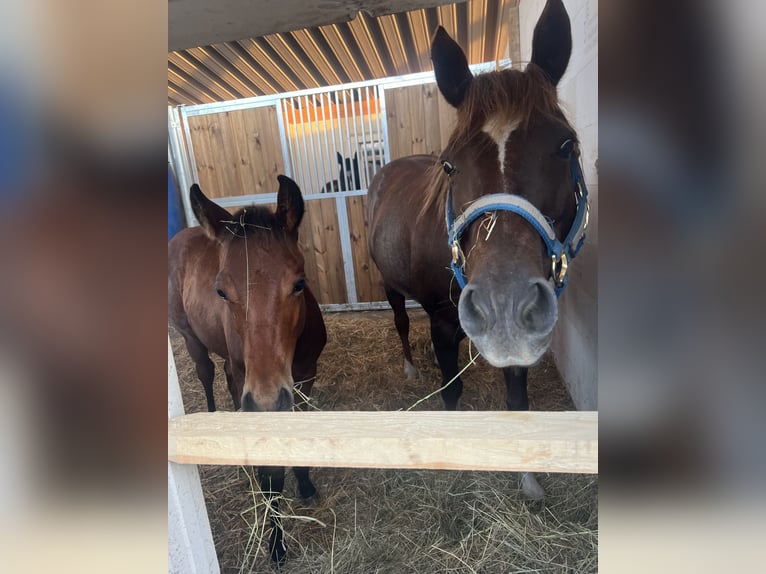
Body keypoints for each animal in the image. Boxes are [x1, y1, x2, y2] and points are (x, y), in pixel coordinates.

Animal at [168, 175, 327, 563]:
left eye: (299, 283)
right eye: (221, 291)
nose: (267, 400)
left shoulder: (305, 378)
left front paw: (305, 485)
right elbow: (271, 474)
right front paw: (277, 545)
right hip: (192, 340)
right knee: (207, 375)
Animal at [367, 0, 589, 502]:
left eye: (566, 146)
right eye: (450, 164)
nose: (503, 302)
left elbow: (517, 401)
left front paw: (528, 479)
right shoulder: (443, 320)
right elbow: (452, 394)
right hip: (391, 287)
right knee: (403, 324)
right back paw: (412, 367)